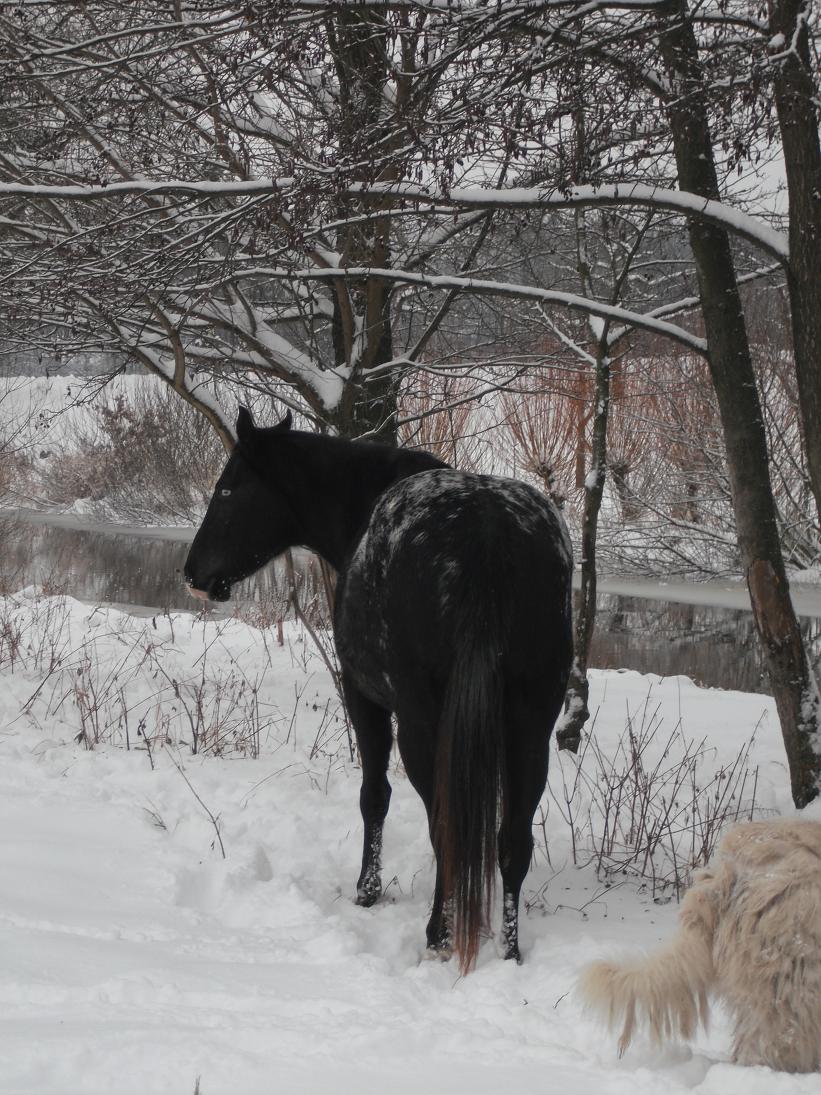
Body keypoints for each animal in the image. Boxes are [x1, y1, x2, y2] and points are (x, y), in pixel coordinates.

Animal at [186, 407, 573, 972]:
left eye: (228, 488)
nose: (193, 572)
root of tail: (489, 532)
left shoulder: (363, 697)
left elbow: (375, 796)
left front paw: (367, 890)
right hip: (530, 726)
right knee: (512, 841)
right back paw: (509, 950)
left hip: (423, 725)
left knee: (446, 827)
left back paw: (439, 935)